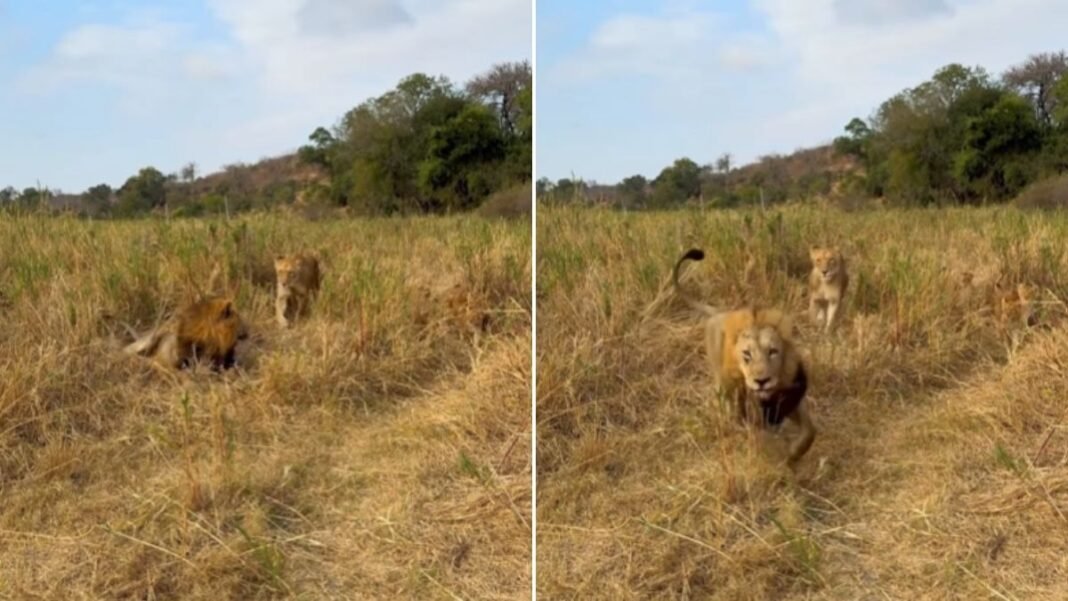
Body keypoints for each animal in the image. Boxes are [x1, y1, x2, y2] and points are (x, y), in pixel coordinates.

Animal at [673, 248, 816, 467]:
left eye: (773, 351)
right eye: (746, 354)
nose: (761, 381)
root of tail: (719, 312)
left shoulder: (789, 393)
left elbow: (809, 431)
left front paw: (793, 454)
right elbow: (762, 435)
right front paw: (776, 455)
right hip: (723, 381)